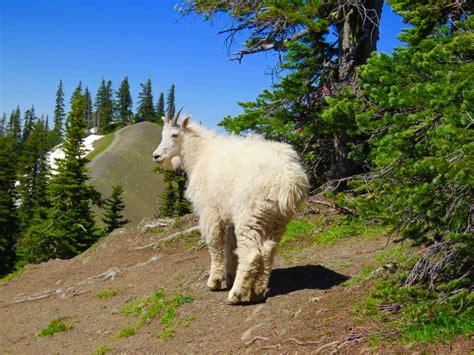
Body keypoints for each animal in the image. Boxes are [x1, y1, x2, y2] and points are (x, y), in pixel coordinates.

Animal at [152, 110, 308, 304]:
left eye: (174, 135)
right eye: (162, 134)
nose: (156, 156)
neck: (199, 155)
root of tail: (288, 179)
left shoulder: (210, 210)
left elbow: (215, 243)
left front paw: (214, 281)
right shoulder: (229, 216)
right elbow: (230, 244)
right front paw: (229, 277)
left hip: (248, 215)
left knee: (251, 254)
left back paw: (236, 294)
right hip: (277, 218)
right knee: (268, 250)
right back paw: (257, 291)